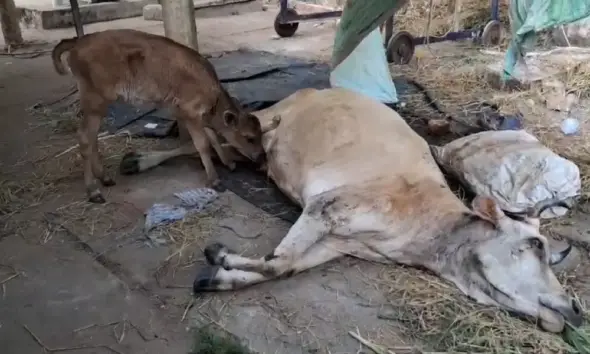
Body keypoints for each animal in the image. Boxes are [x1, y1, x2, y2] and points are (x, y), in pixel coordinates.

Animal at [52, 29, 266, 203]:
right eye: (249, 137)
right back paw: (93, 191)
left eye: (261, 134)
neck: (213, 98)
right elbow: (203, 144)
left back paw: (105, 177)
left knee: (92, 136)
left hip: (99, 103)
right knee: (84, 137)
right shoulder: (189, 111)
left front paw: (228, 163)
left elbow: (213, 137)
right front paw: (215, 180)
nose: (261, 157)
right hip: (94, 98)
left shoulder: (190, 113)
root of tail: (78, 41)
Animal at [122, 88, 584, 332]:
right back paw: (138, 160)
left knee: (217, 150)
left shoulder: (339, 243)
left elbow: (284, 266)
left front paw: (217, 277)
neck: (424, 226)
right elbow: (278, 260)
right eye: (535, 245)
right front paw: (217, 255)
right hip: (260, 124)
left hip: (254, 150)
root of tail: (312, 90)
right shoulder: (328, 204)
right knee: (207, 138)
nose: (576, 310)